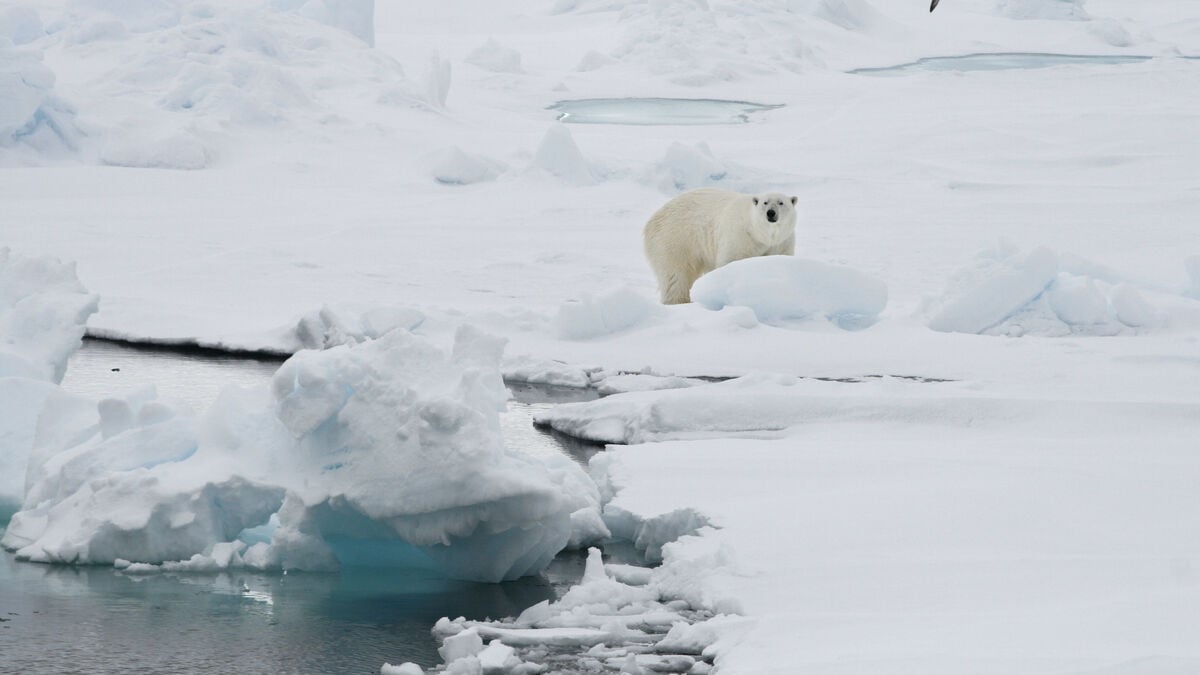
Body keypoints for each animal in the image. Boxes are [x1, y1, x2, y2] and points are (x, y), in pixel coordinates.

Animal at [643, 188, 798, 304]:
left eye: (781, 203)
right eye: (765, 203)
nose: (771, 213)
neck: (758, 233)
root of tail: (652, 219)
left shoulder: (782, 242)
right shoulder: (740, 237)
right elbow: (731, 261)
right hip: (675, 239)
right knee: (675, 274)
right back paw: (679, 300)